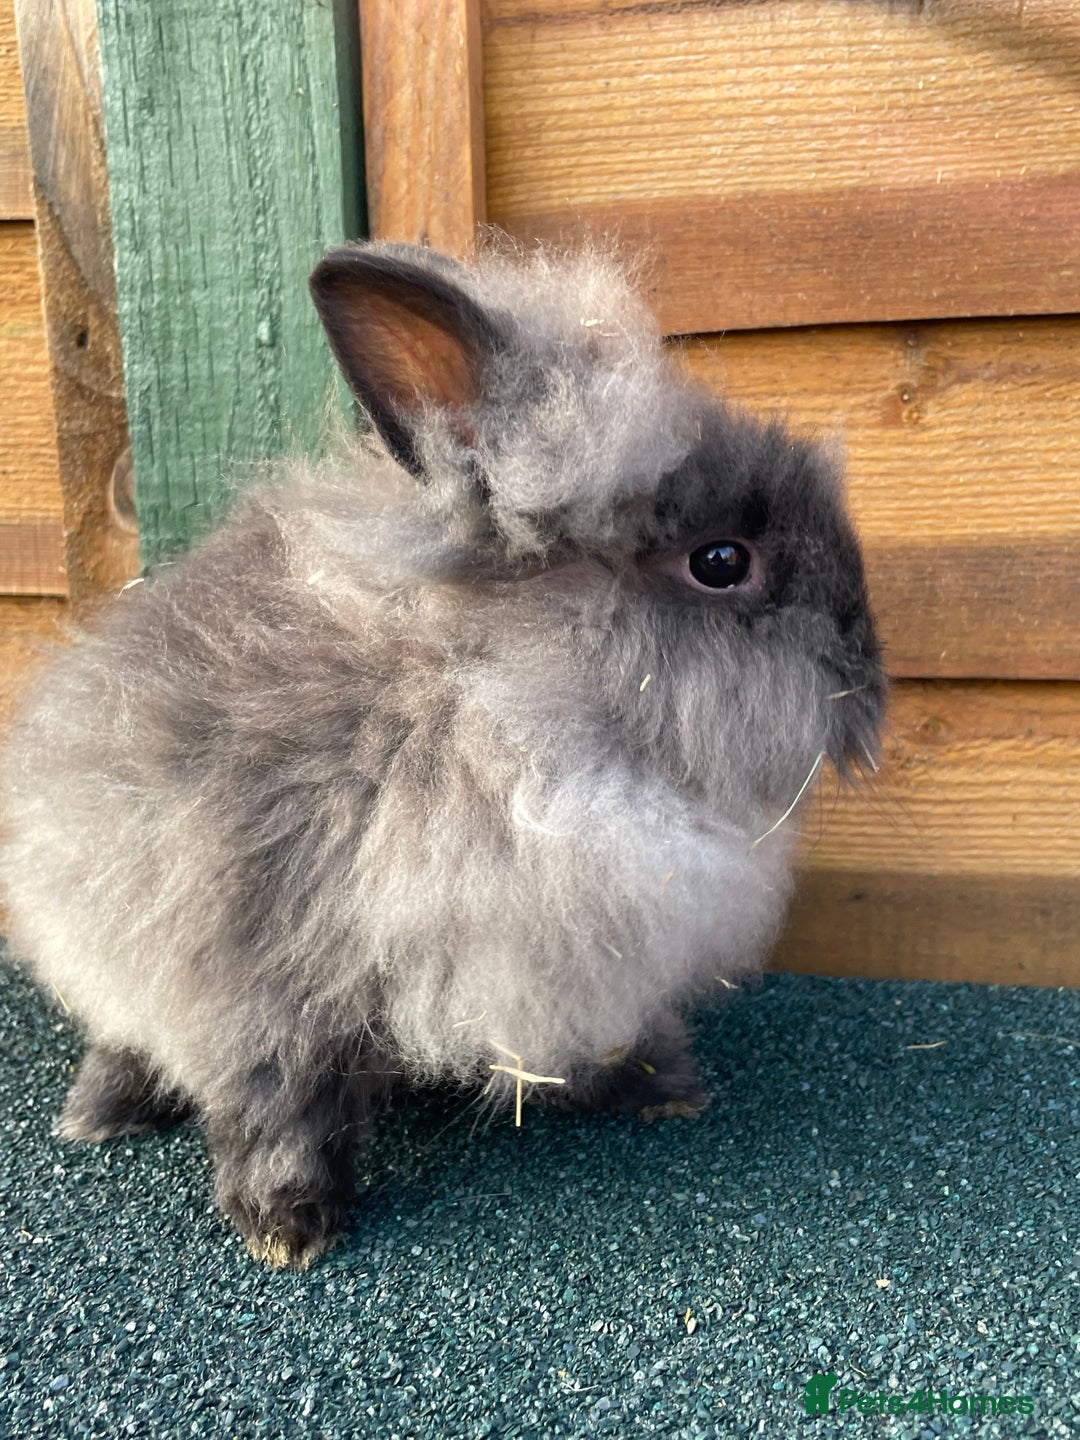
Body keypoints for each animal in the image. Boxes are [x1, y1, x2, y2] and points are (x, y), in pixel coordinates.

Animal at [0, 240, 886, 1268]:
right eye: (721, 562)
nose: (869, 661)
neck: (500, 707)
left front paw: (668, 1089)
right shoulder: (259, 961)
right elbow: (275, 1100)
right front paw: (287, 1229)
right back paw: (101, 1116)